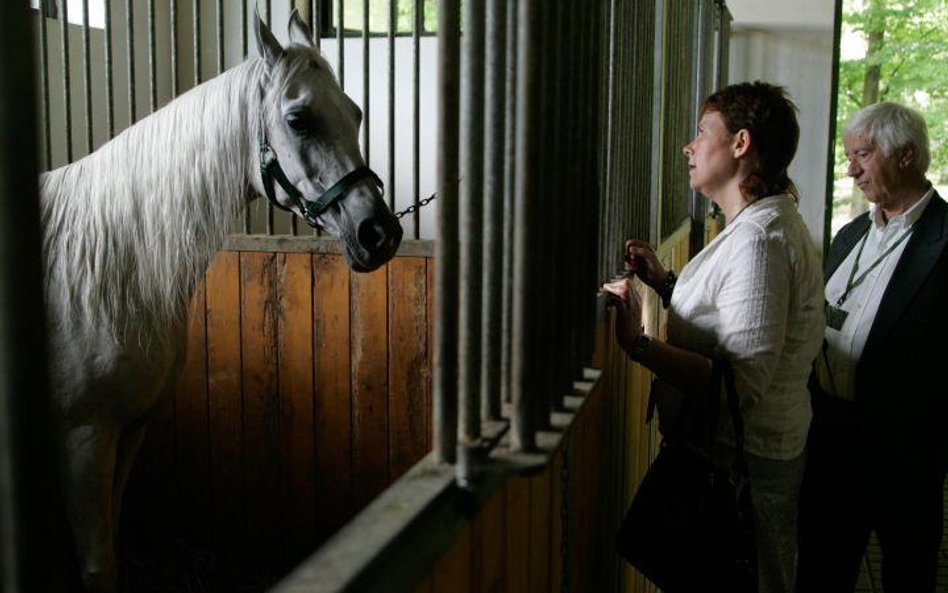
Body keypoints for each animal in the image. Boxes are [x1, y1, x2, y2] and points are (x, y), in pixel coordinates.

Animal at [36, 10, 400, 592]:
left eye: (356, 112)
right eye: (298, 119)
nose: (379, 233)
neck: (110, 265)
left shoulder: (129, 430)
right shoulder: (82, 436)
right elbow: (96, 566)